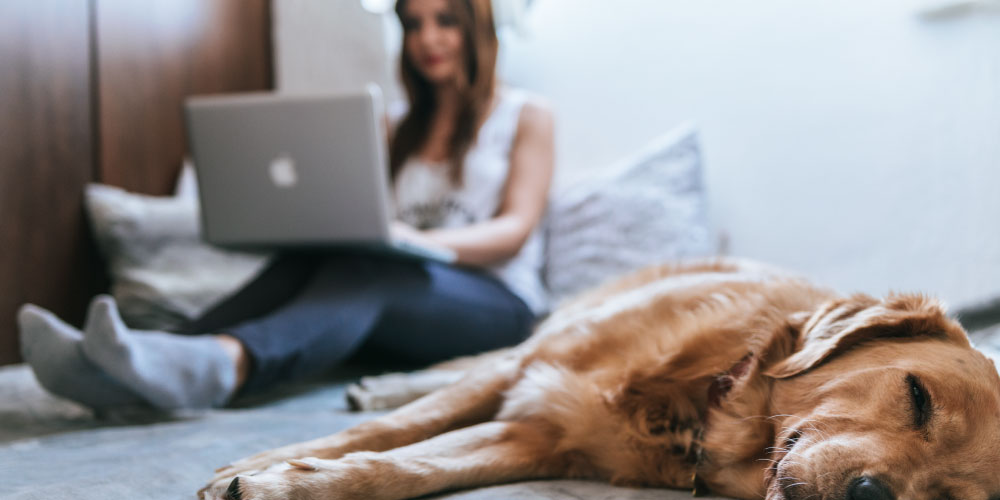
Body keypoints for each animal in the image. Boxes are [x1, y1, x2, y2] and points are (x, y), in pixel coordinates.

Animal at [197, 258, 1000, 500]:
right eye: (917, 396)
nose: (871, 494)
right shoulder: (532, 370)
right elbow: (395, 429)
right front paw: (262, 465)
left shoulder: (538, 436)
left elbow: (407, 465)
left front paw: (293, 482)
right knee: (456, 369)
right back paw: (382, 381)